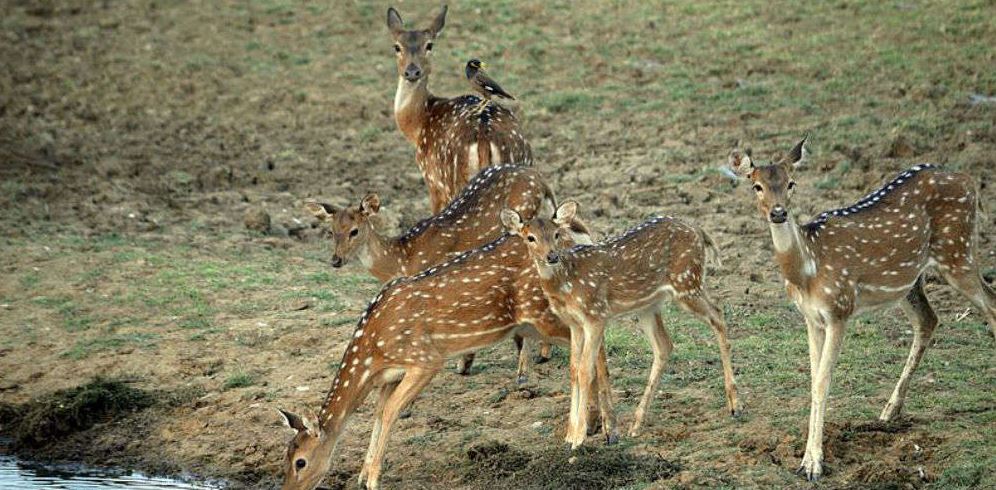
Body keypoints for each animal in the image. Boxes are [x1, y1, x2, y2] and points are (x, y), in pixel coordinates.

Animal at [274, 211, 616, 490]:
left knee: (595, 345)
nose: (289, 489)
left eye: (301, 462)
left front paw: (371, 478)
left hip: (546, 313)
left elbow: (390, 411)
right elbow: (379, 412)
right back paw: (594, 427)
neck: (372, 351)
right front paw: (362, 474)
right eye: (284, 457)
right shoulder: (389, 375)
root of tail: (577, 237)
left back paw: (602, 431)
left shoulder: (425, 359)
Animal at [302, 167, 576, 380]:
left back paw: (525, 369)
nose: (335, 260)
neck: (403, 258)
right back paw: (542, 354)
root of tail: (540, 179)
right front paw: (464, 364)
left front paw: (461, 364)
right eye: (331, 231)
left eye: (354, 231)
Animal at [386, 5, 532, 212]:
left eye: (429, 45)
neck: (418, 125)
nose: (412, 72)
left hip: (453, 184)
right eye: (397, 46)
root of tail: (484, 138)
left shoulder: (432, 182)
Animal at [506, 202, 740, 448]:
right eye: (530, 237)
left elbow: (585, 370)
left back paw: (735, 405)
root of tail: (699, 230)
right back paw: (636, 424)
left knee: (718, 315)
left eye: (556, 234)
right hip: (649, 305)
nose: (551, 256)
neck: (566, 284)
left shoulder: (596, 315)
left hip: (686, 282)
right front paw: (570, 434)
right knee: (665, 345)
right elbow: (573, 370)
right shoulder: (574, 324)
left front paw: (578, 438)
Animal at [728, 135, 992, 482]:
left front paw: (814, 464)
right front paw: (805, 459)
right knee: (929, 319)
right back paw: (890, 411)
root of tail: (970, 181)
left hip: (957, 252)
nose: (778, 212)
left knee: (991, 305)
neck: (807, 270)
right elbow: (813, 381)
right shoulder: (811, 318)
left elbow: (822, 383)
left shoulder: (839, 309)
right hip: (911, 280)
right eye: (756, 185)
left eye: (791, 182)